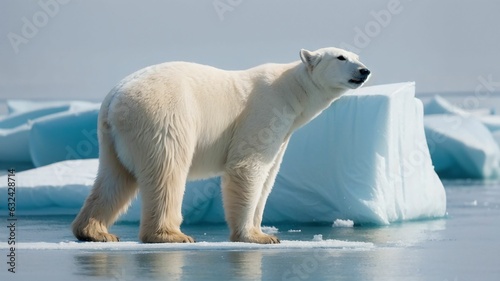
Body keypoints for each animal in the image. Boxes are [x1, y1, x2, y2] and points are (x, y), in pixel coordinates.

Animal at [71, 46, 372, 243]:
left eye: (357, 56)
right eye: (341, 57)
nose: (365, 70)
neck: (291, 91)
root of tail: (114, 98)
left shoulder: (285, 131)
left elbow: (269, 176)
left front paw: (264, 233)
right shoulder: (264, 110)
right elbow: (248, 166)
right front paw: (253, 237)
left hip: (111, 137)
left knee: (113, 177)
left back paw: (95, 232)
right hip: (162, 115)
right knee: (167, 169)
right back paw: (171, 235)